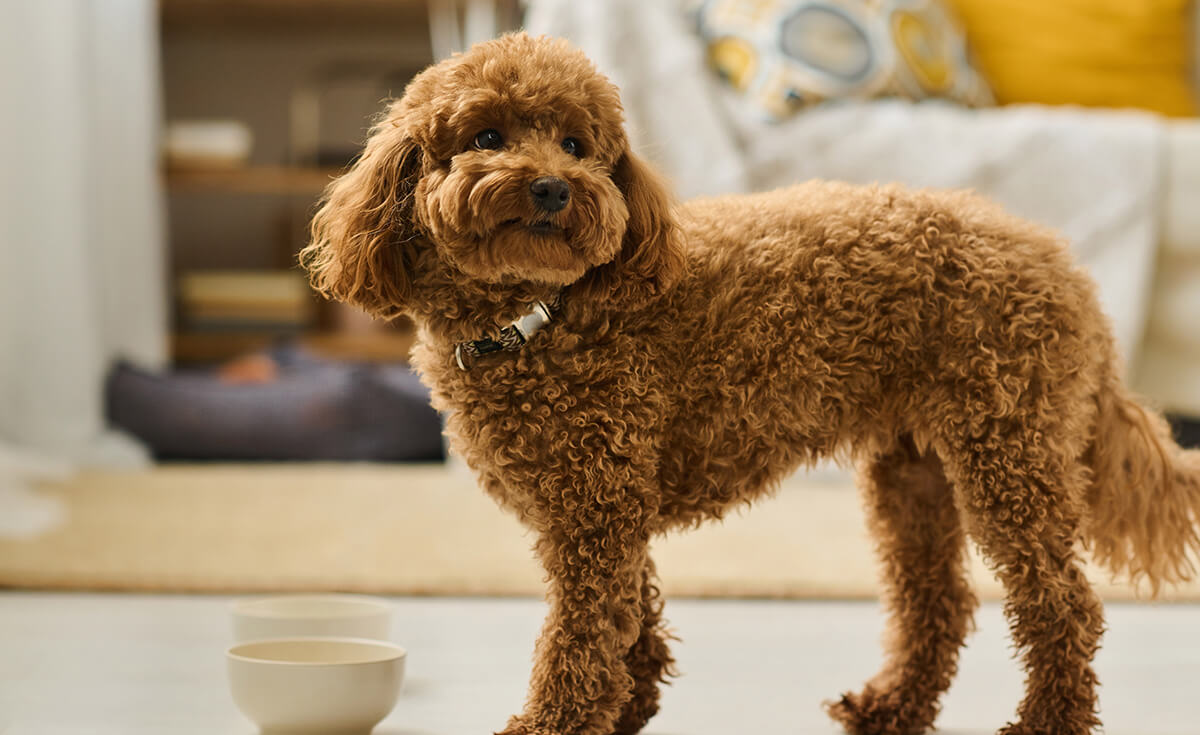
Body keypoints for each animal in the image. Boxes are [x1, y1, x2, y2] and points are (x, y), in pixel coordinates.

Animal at [304, 34, 1200, 735]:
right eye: (487, 134)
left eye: (578, 145)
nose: (556, 187)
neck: (542, 313)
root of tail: (1064, 266)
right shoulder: (611, 512)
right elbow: (634, 621)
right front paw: (628, 709)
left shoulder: (595, 509)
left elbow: (582, 638)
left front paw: (555, 722)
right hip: (914, 469)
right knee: (938, 603)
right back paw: (892, 706)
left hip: (1008, 453)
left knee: (1063, 605)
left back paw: (1048, 718)